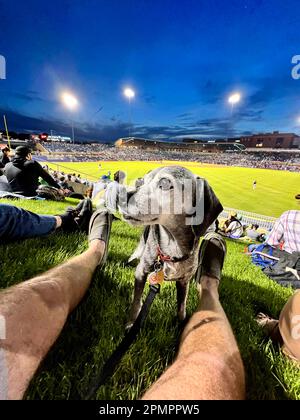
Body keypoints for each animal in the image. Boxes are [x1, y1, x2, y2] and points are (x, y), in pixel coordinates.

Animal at [121, 165, 223, 328]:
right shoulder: (141, 273)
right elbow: (136, 301)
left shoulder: (184, 282)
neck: (171, 248)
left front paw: (181, 327)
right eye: (140, 182)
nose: (121, 196)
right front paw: (131, 323)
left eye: (164, 183)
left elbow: (181, 307)